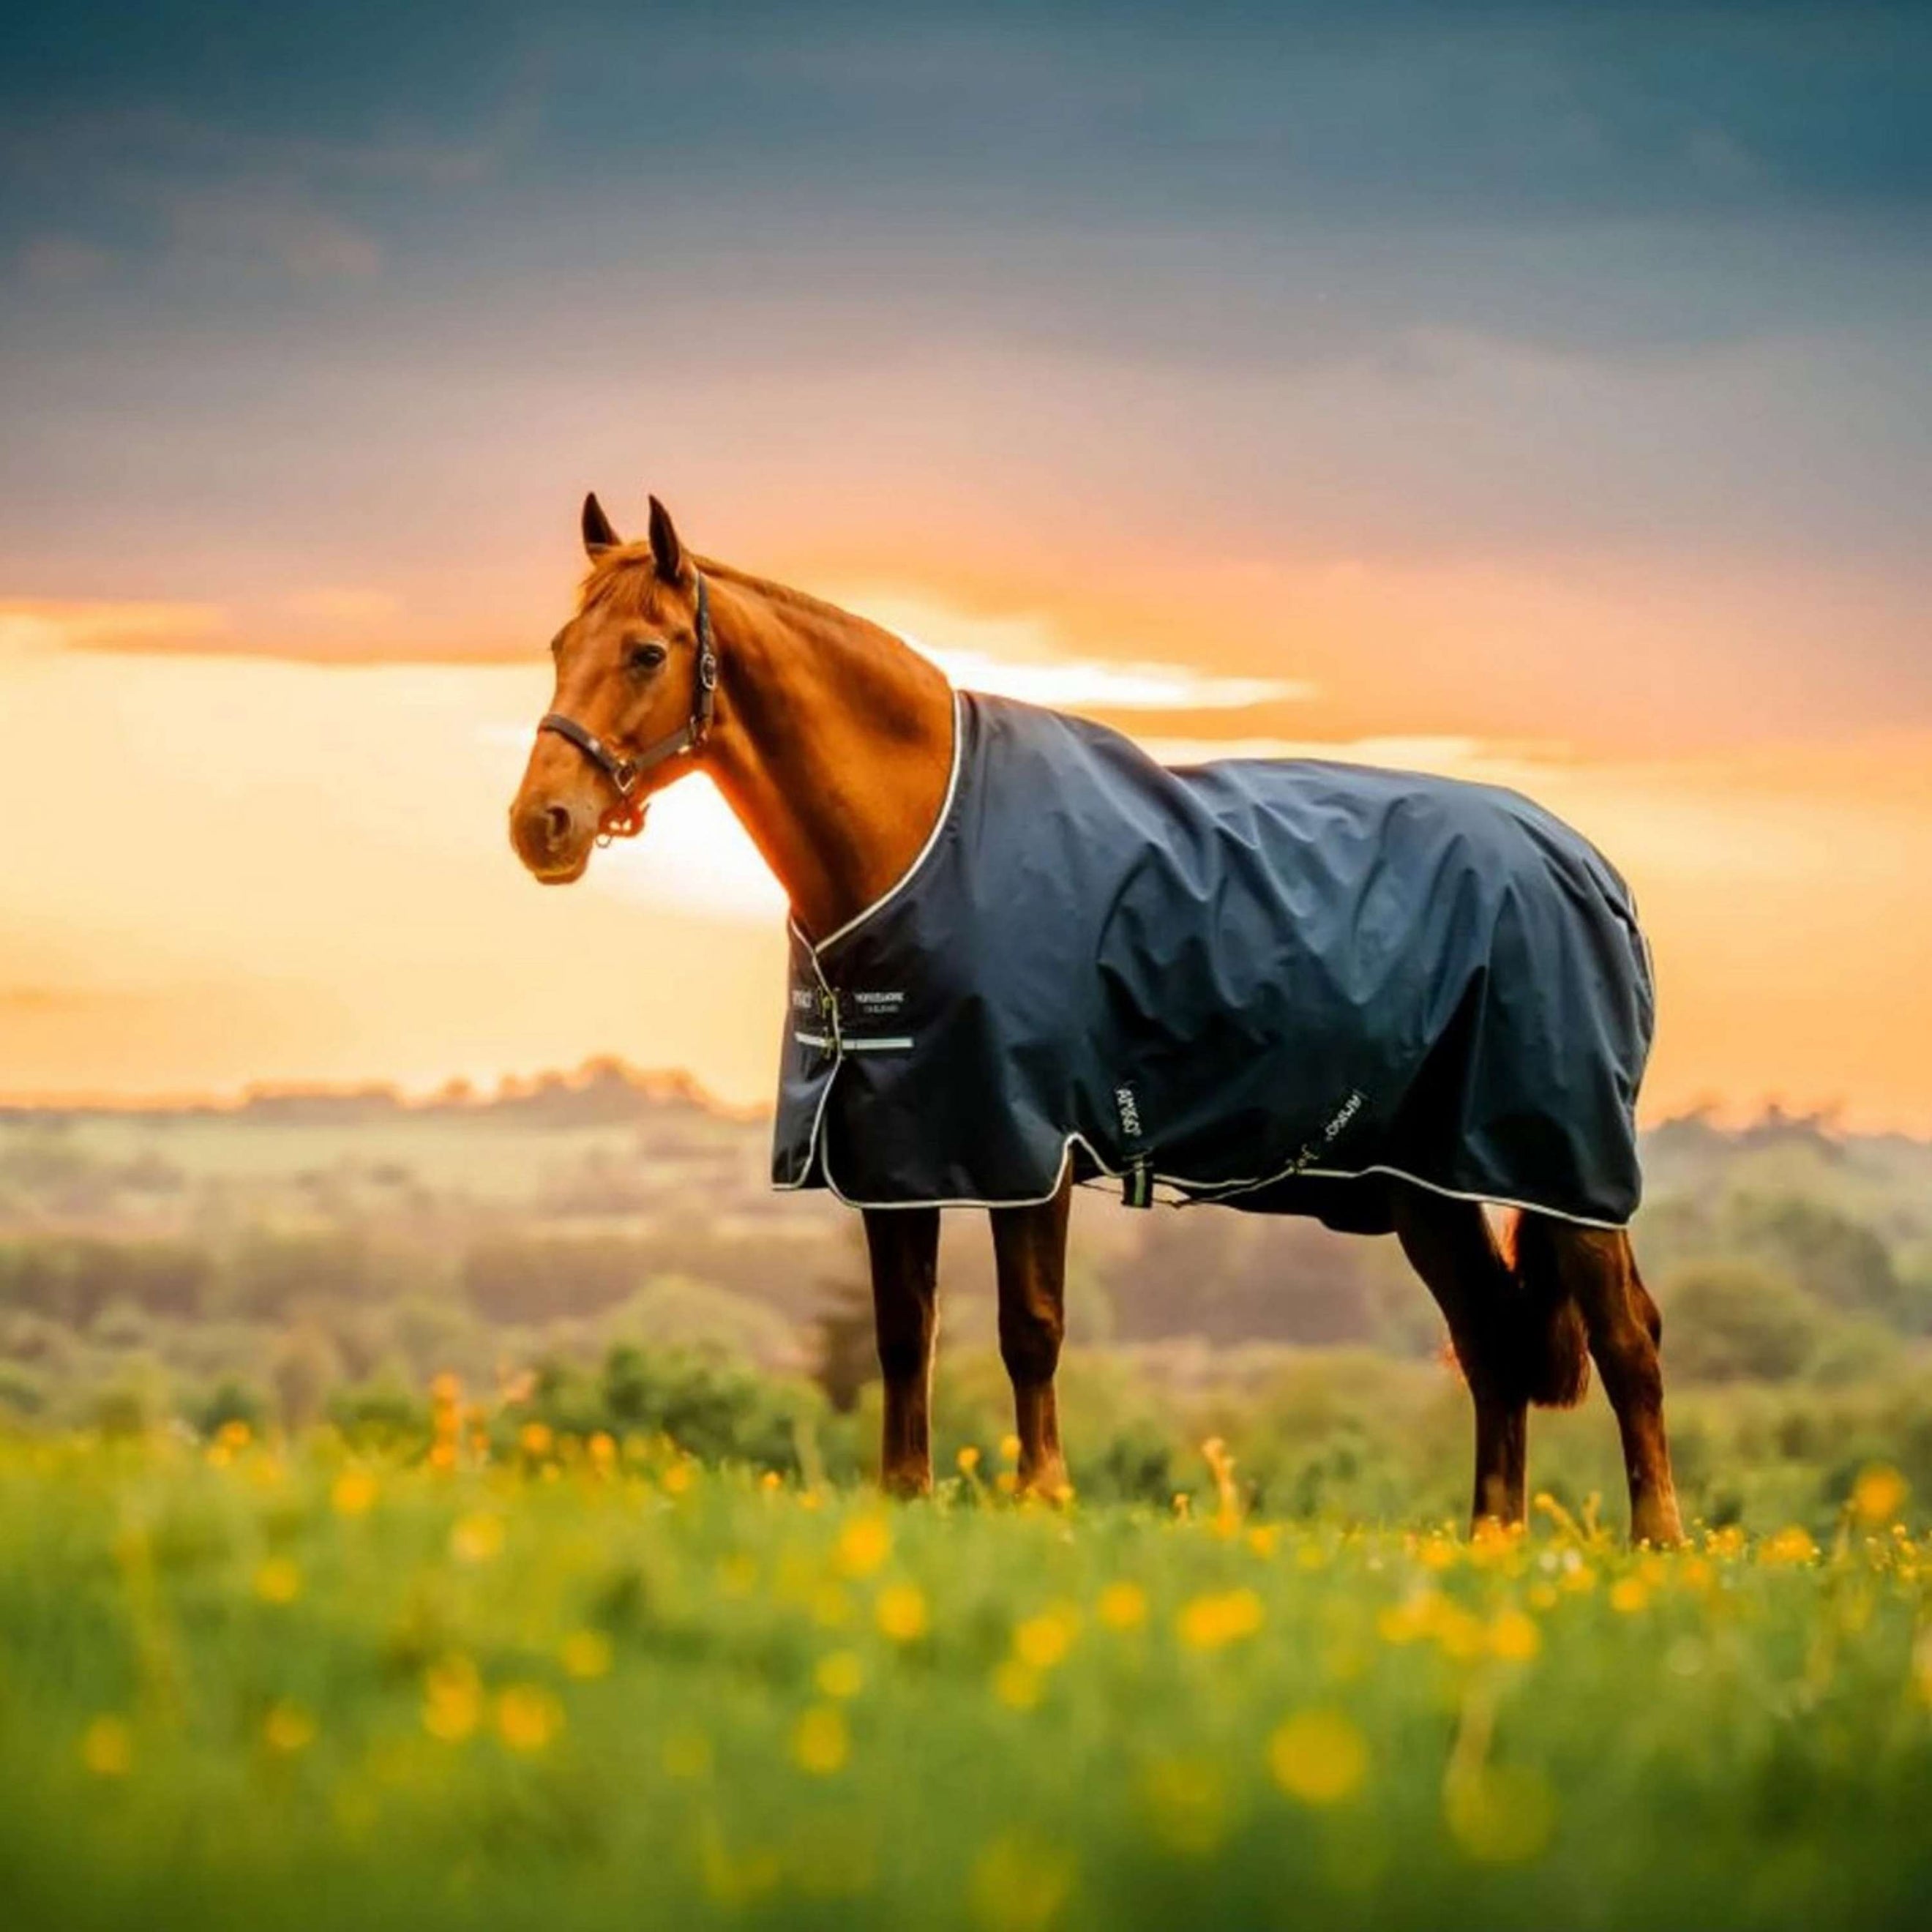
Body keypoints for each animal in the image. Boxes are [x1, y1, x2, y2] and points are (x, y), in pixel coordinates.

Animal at [509, 491, 1684, 1545]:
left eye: (648, 652)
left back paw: (1658, 1547)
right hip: (1424, 1184)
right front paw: (906, 1497)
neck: (922, 837)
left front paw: (1044, 1500)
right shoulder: (898, 1150)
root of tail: (1593, 872)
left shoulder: (1026, 1144)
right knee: (1491, 1342)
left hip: (1569, 1170)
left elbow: (1030, 1329)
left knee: (1628, 1340)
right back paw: (1494, 1545)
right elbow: (903, 1334)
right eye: (561, 643)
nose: (541, 825)